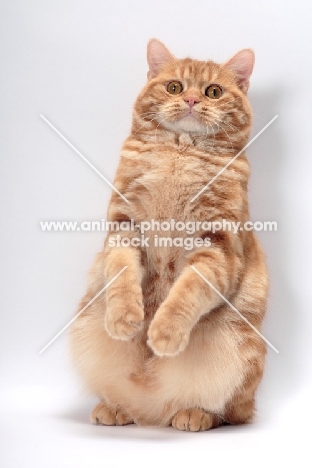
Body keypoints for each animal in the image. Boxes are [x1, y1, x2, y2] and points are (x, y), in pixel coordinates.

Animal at [70, 39, 268, 432]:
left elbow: (185, 294)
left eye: (213, 91)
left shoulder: (216, 247)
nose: (191, 99)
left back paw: (193, 413)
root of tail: (152, 408)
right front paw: (124, 316)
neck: (180, 152)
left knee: (228, 410)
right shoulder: (124, 229)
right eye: (175, 87)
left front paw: (164, 332)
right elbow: (121, 274)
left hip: (240, 351)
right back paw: (116, 407)